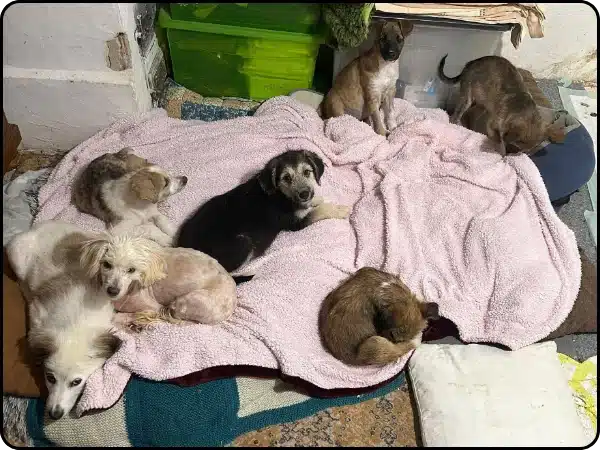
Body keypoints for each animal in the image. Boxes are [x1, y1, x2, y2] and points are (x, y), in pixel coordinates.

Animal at [78, 231, 238, 326]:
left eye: (131, 270)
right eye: (106, 265)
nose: (112, 291)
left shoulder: (153, 306)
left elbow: (115, 317)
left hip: (187, 301)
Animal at [176, 150, 351, 281]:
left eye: (307, 172)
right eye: (286, 178)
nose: (304, 194)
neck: (280, 193)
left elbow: (313, 205)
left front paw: (316, 199)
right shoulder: (295, 223)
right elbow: (319, 211)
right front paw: (341, 209)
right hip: (243, 243)